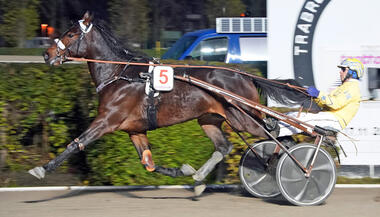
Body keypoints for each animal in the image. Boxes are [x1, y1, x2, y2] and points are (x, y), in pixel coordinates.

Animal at [28, 11, 316, 195]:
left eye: (71, 33)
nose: (46, 54)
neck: (119, 74)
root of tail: (244, 75)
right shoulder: (135, 129)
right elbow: (149, 163)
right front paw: (187, 171)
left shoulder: (106, 121)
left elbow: (77, 143)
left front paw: (41, 169)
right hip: (210, 118)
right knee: (225, 146)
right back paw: (201, 178)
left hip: (244, 117)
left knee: (280, 133)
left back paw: (291, 169)